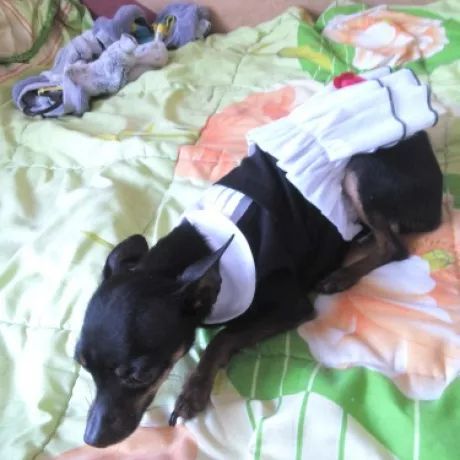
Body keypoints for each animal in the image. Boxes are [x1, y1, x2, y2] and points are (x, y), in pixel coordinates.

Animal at [74, 126, 443, 448]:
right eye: (82, 366)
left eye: (140, 376)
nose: (91, 439)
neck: (200, 247)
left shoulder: (293, 306)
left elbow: (224, 337)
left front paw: (194, 389)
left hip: (358, 168)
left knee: (393, 247)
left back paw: (343, 274)